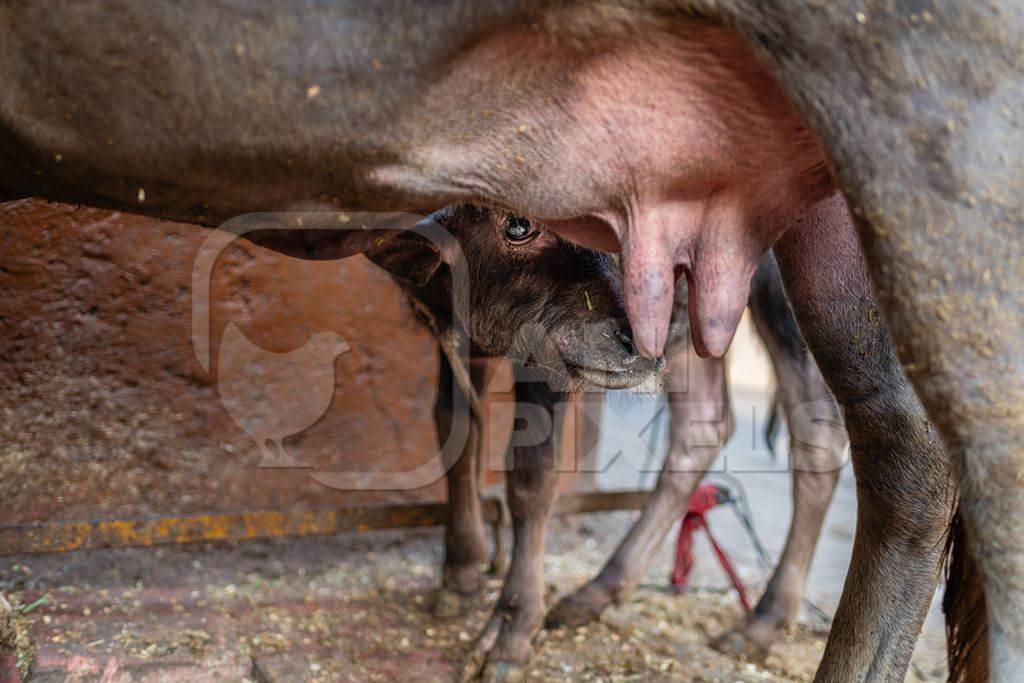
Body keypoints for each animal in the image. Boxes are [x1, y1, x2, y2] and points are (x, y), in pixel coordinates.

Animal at [2, 2, 1024, 679]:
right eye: (518, 223)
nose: (631, 321)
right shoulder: (451, 333)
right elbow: (450, 432)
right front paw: (461, 568)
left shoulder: (553, 360)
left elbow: (530, 479)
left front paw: (506, 625)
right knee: (710, 421)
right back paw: (606, 589)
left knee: (861, 436)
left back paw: (764, 618)